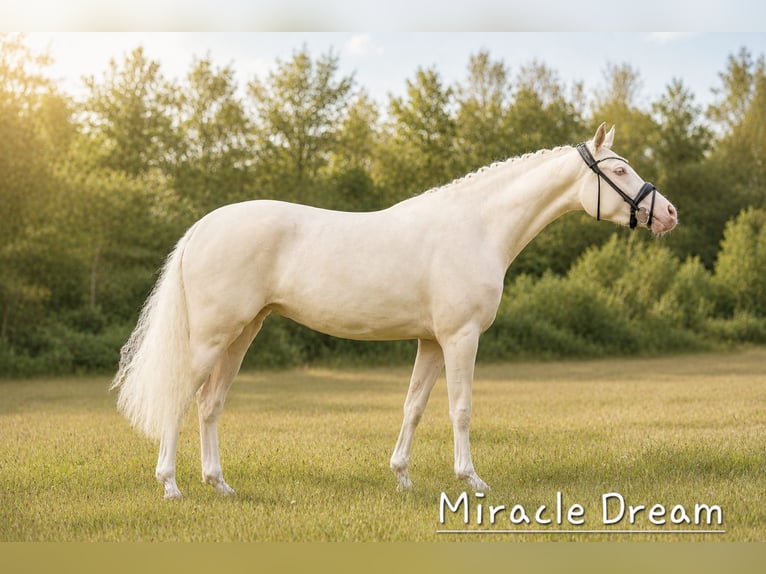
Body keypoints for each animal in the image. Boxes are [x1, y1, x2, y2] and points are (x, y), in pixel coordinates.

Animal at [112, 123, 678, 499]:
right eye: (620, 169)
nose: (669, 213)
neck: (478, 226)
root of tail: (200, 229)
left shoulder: (431, 341)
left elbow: (414, 407)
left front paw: (402, 476)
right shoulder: (460, 337)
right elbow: (461, 408)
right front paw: (471, 479)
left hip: (242, 333)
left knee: (210, 404)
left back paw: (220, 485)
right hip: (212, 336)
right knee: (181, 398)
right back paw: (171, 486)